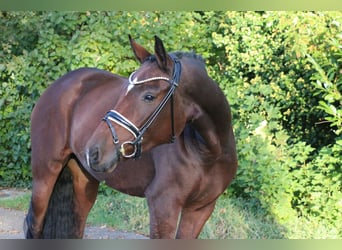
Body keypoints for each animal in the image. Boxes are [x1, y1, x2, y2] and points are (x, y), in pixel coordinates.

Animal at [24, 35, 238, 238]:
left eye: (149, 96)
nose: (93, 150)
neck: (206, 151)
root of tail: (60, 84)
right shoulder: (164, 206)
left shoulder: (200, 210)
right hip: (45, 176)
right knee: (34, 226)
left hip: (83, 180)